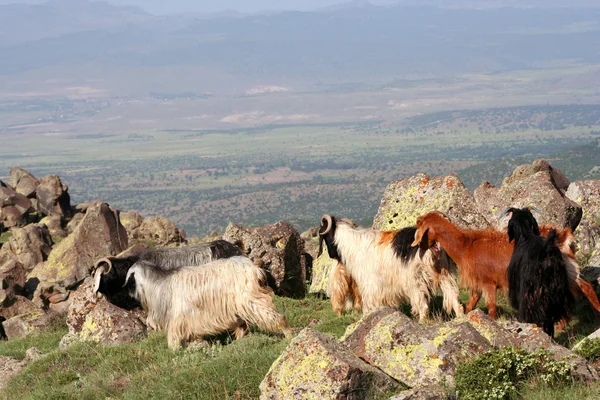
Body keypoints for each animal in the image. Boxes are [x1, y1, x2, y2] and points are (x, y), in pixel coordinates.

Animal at [318, 214, 464, 320]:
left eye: (323, 235)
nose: (331, 255)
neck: (353, 244)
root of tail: (434, 243)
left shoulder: (370, 283)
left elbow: (370, 304)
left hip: (416, 279)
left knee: (422, 305)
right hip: (444, 273)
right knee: (454, 299)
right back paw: (461, 318)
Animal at [412, 211, 600, 320]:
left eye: (419, 226)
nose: (419, 247)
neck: (465, 247)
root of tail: (563, 236)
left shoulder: (489, 283)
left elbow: (491, 309)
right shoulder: (478, 285)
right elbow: (470, 306)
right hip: (568, 268)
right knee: (586, 286)